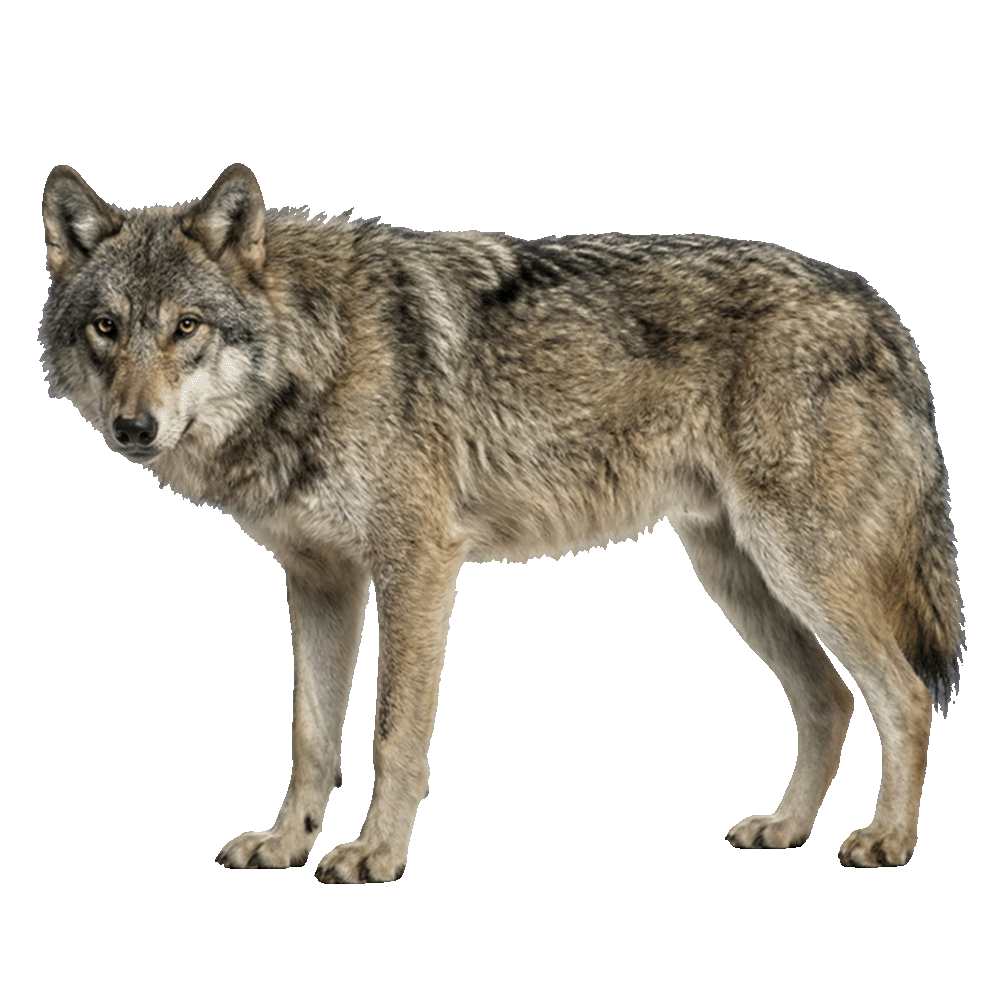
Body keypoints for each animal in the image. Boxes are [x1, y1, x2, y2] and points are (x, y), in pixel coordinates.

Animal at [40, 163, 963, 878]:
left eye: (186, 327)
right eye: (106, 327)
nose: (133, 427)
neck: (317, 354)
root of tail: (880, 306)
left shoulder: (417, 565)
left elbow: (389, 735)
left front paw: (375, 855)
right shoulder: (320, 580)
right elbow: (310, 737)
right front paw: (285, 844)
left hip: (801, 567)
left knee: (907, 696)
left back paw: (888, 840)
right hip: (737, 578)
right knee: (829, 702)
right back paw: (786, 829)